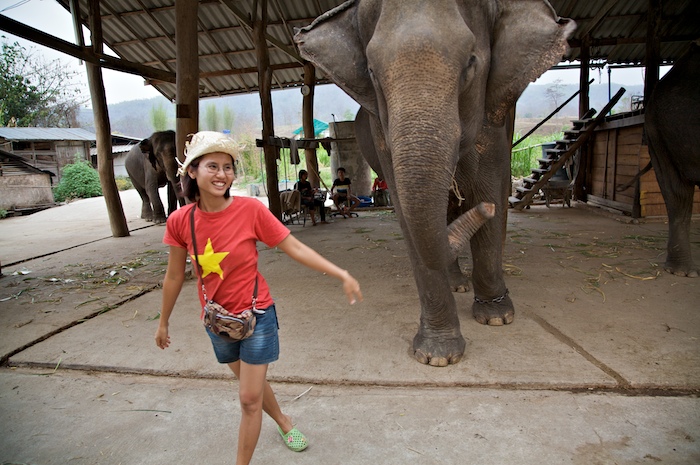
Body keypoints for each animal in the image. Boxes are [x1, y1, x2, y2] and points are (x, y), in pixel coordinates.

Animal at [296, 0, 576, 366]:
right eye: (371, 72)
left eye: (471, 62)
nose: (487, 210)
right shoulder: (382, 135)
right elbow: (408, 215)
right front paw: (437, 356)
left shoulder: (494, 120)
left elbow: (489, 185)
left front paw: (497, 318)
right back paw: (458, 284)